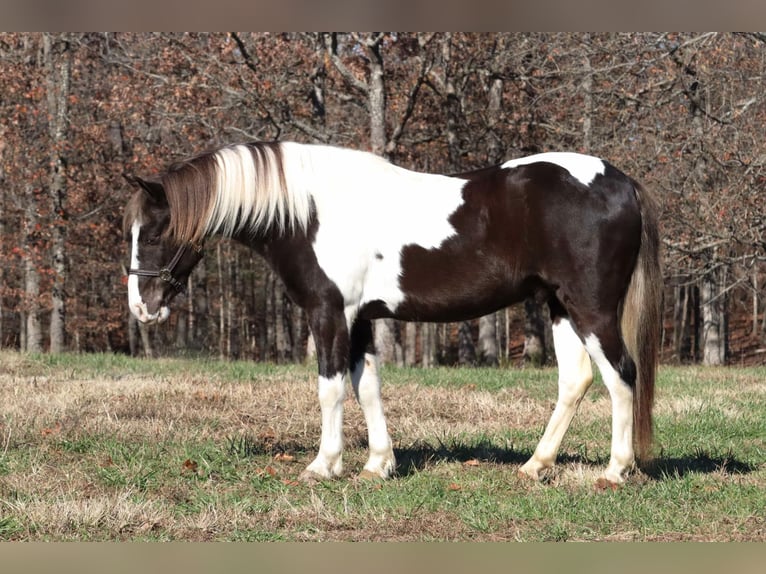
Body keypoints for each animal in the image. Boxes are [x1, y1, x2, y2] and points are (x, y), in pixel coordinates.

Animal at [123, 142, 664, 488]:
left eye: (154, 232)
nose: (141, 307)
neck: (312, 212)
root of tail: (622, 182)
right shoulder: (361, 318)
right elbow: (367, 387)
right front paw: (378, 465)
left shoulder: (330, 313)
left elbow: (330, 388)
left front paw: (324, 465)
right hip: (559, 306)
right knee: (576, 380)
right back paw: (536, 465)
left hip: (590, 308)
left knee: (622, 376)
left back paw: (615, 471)